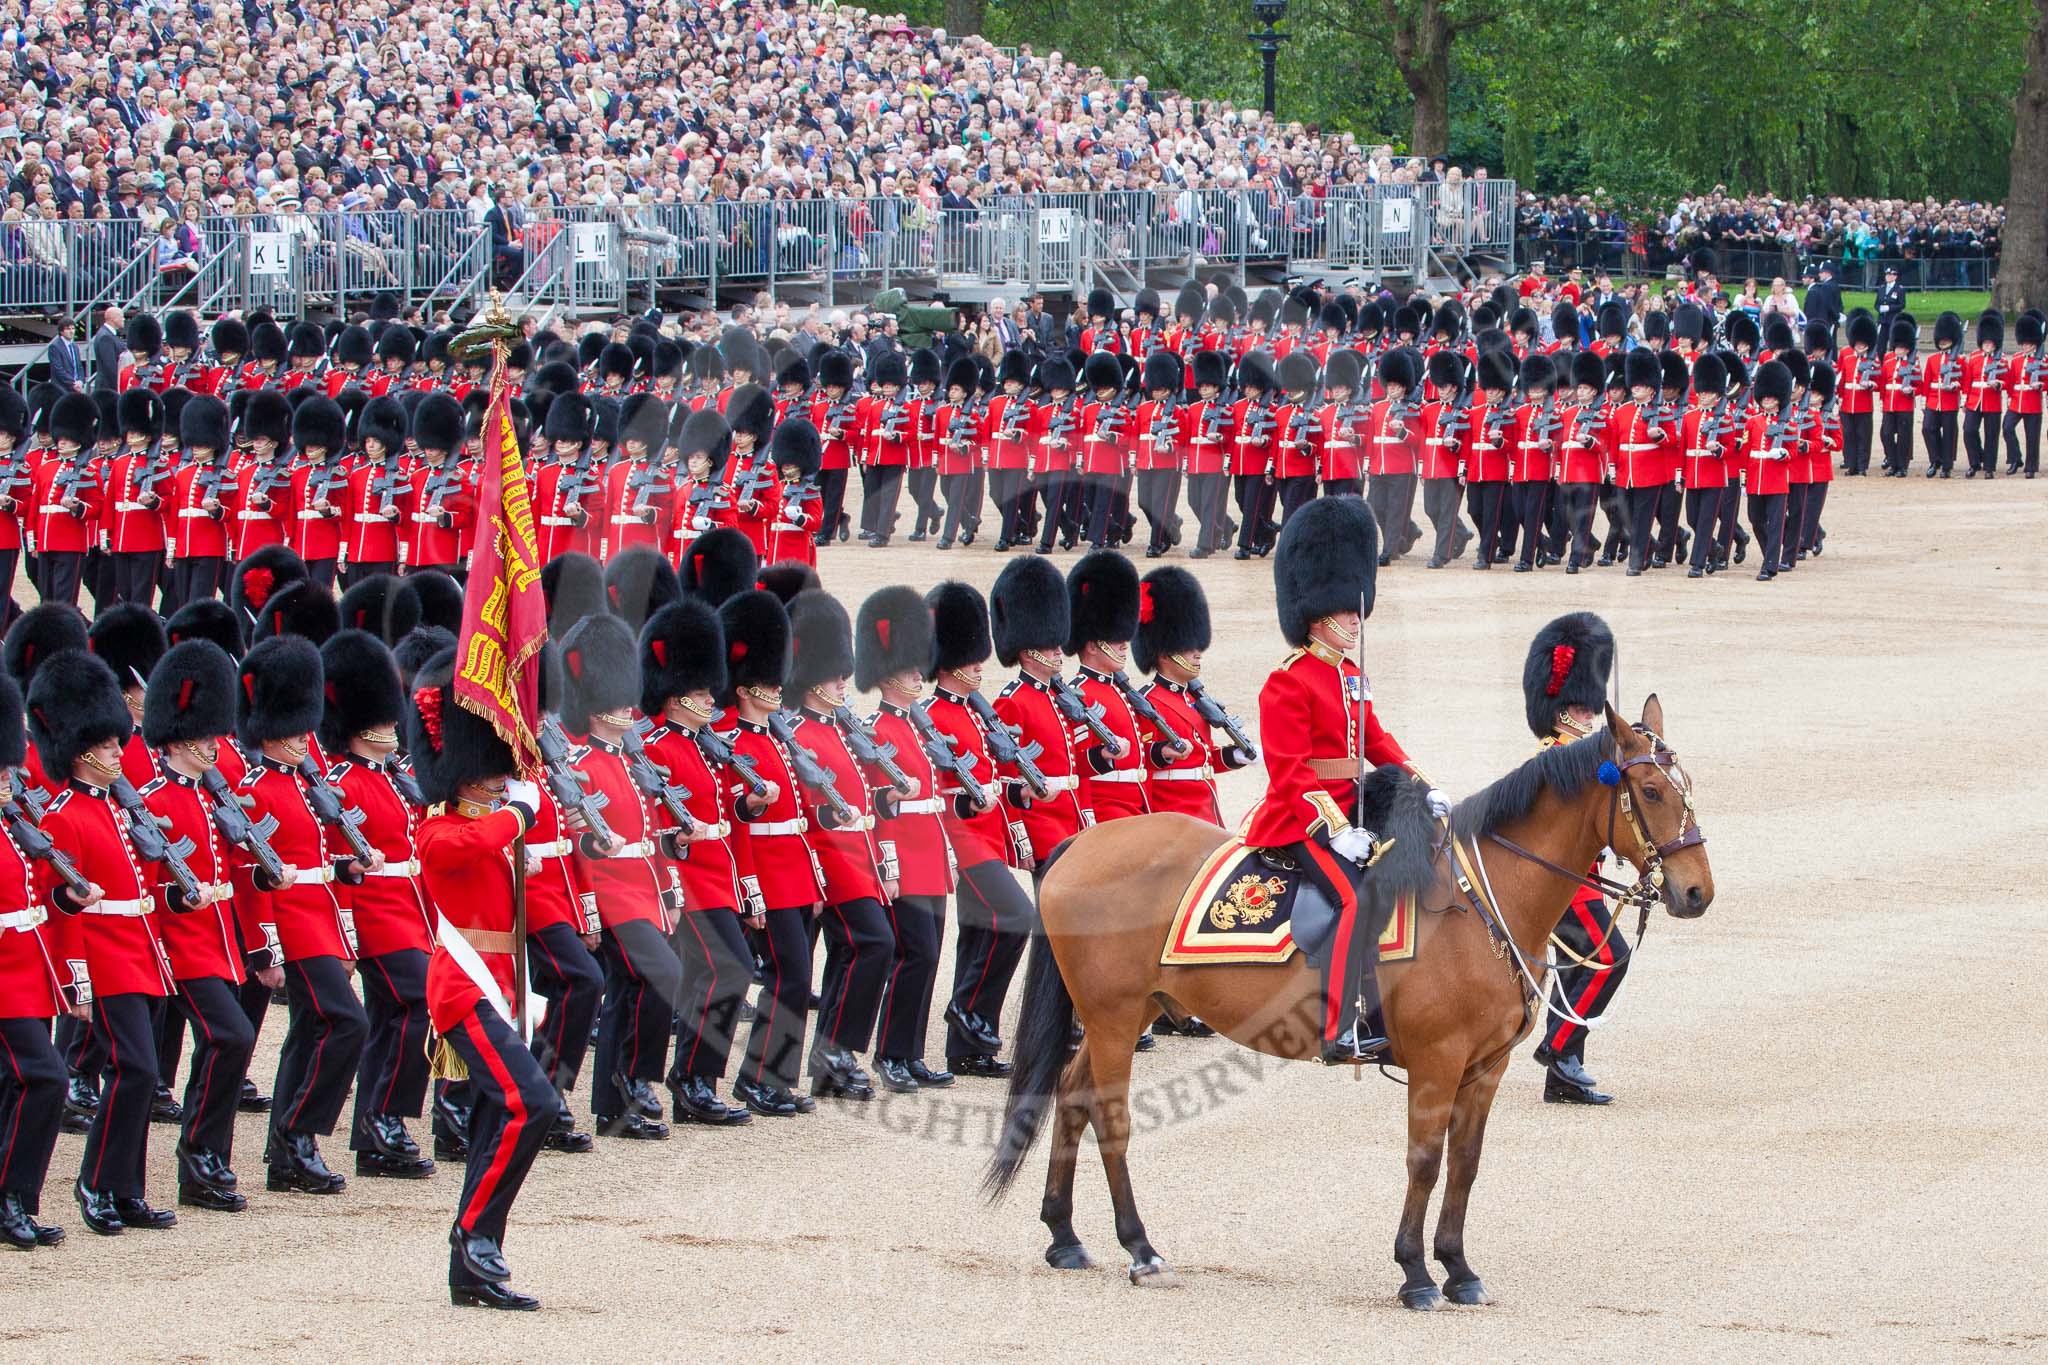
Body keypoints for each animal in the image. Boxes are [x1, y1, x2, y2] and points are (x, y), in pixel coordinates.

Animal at [983, 699, 1703, 1309]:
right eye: (1651, 791)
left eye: (1687, 787)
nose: (1698, 892)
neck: (1484, 899)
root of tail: (1084, 843)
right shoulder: (1438, 1061)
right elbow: (1425, 1159)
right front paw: (1416, 1273)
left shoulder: (1484, 1067)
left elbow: (1465, 1165)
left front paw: (1458, 1269)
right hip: (1111, 1018)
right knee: (1109, 1116)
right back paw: (1140, 1248)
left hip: (1129, 1013)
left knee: (1072, 1096)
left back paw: (1065, 1237)